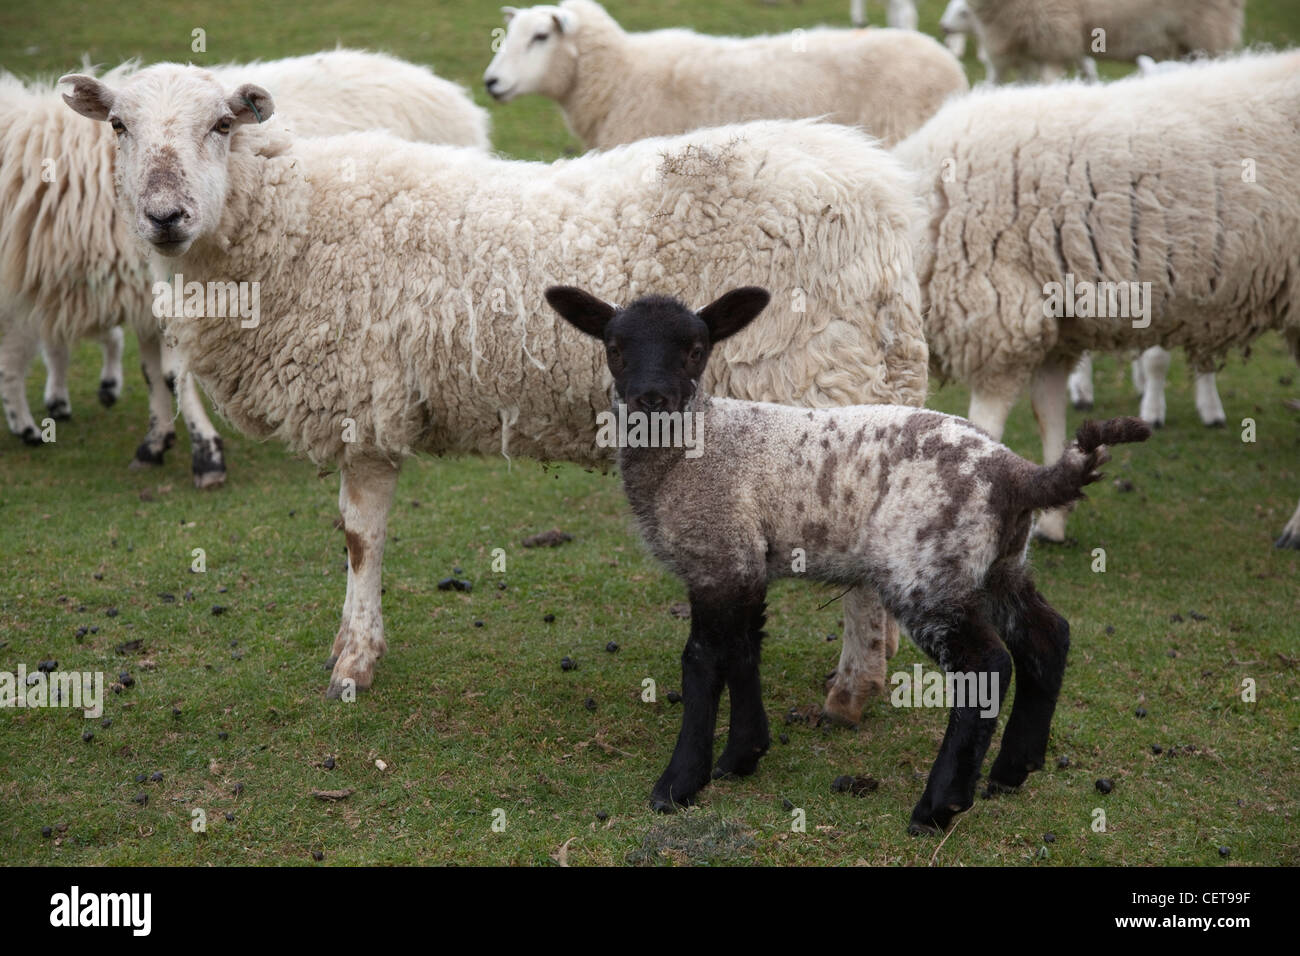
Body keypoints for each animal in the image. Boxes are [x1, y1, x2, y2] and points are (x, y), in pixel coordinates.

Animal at [1, 50, 488, 486]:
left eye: (223, 124)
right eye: (117, 125)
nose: (165, 217)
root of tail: (442, 86)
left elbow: (171, 373)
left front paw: (205, 455)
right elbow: (151, 371)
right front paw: (156, 442)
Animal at [63, 61, 935, 702]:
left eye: (221, 125)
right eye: (119, 126)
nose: (164, 215)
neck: (294, 224)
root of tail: (883, 197)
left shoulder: (364, 402)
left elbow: (359, 536)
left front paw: (353, 663)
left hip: (818, 387)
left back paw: (853, 689)